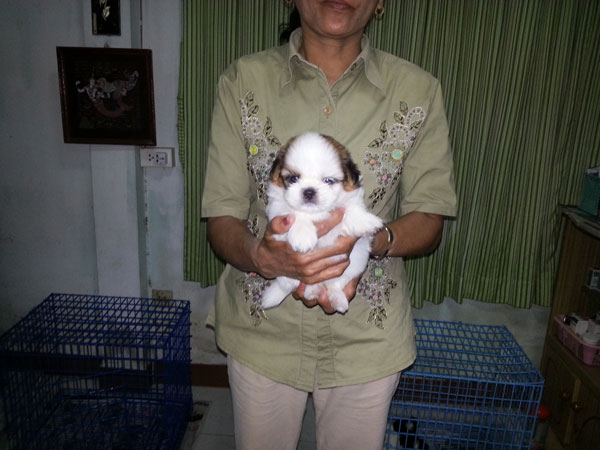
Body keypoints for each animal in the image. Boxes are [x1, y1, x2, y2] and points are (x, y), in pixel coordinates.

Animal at [260, 132, 383, 313]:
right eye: (293, 179)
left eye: (328, 181)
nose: (309, 191)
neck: (317, 214)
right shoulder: (277, 209)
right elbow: (296, 213)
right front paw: (303, 236)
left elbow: (349, 208)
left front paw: (366, 220)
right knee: (294, 282)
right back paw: (311, 290)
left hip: (355, 264)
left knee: (335, 284)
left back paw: (336, 298)